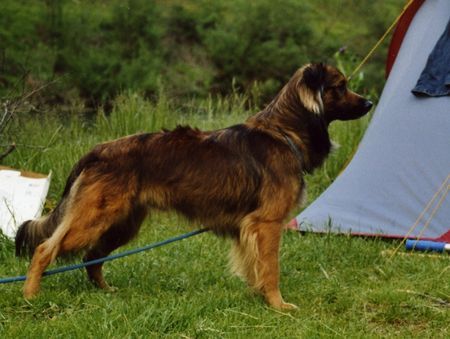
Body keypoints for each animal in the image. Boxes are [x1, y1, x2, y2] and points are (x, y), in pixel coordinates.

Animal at [15, 63, 370, 310]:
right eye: (340, 87)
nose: (368, 103)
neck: (283, 132)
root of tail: (99, 150)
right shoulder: (266, 224)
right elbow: (271, 269)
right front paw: (277, 305)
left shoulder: (251, 228)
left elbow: (256, 267)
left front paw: (259, 298)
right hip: (95, 219)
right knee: (45, 249)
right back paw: (30, 295)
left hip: (121, 225)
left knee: (92, 258)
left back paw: (105, 292)